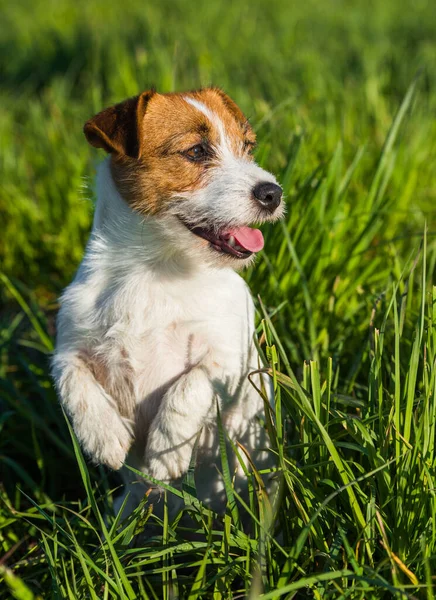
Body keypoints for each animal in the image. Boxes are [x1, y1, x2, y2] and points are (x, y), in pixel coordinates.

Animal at [52, 86, 282, 516]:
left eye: (248, 147)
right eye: (196, 151)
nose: (272, 193)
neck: (153, 269)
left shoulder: (228, 357)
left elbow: (190, 386)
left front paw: (165, 450)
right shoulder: (69, 345)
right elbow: (72, 381)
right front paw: (104, 438)